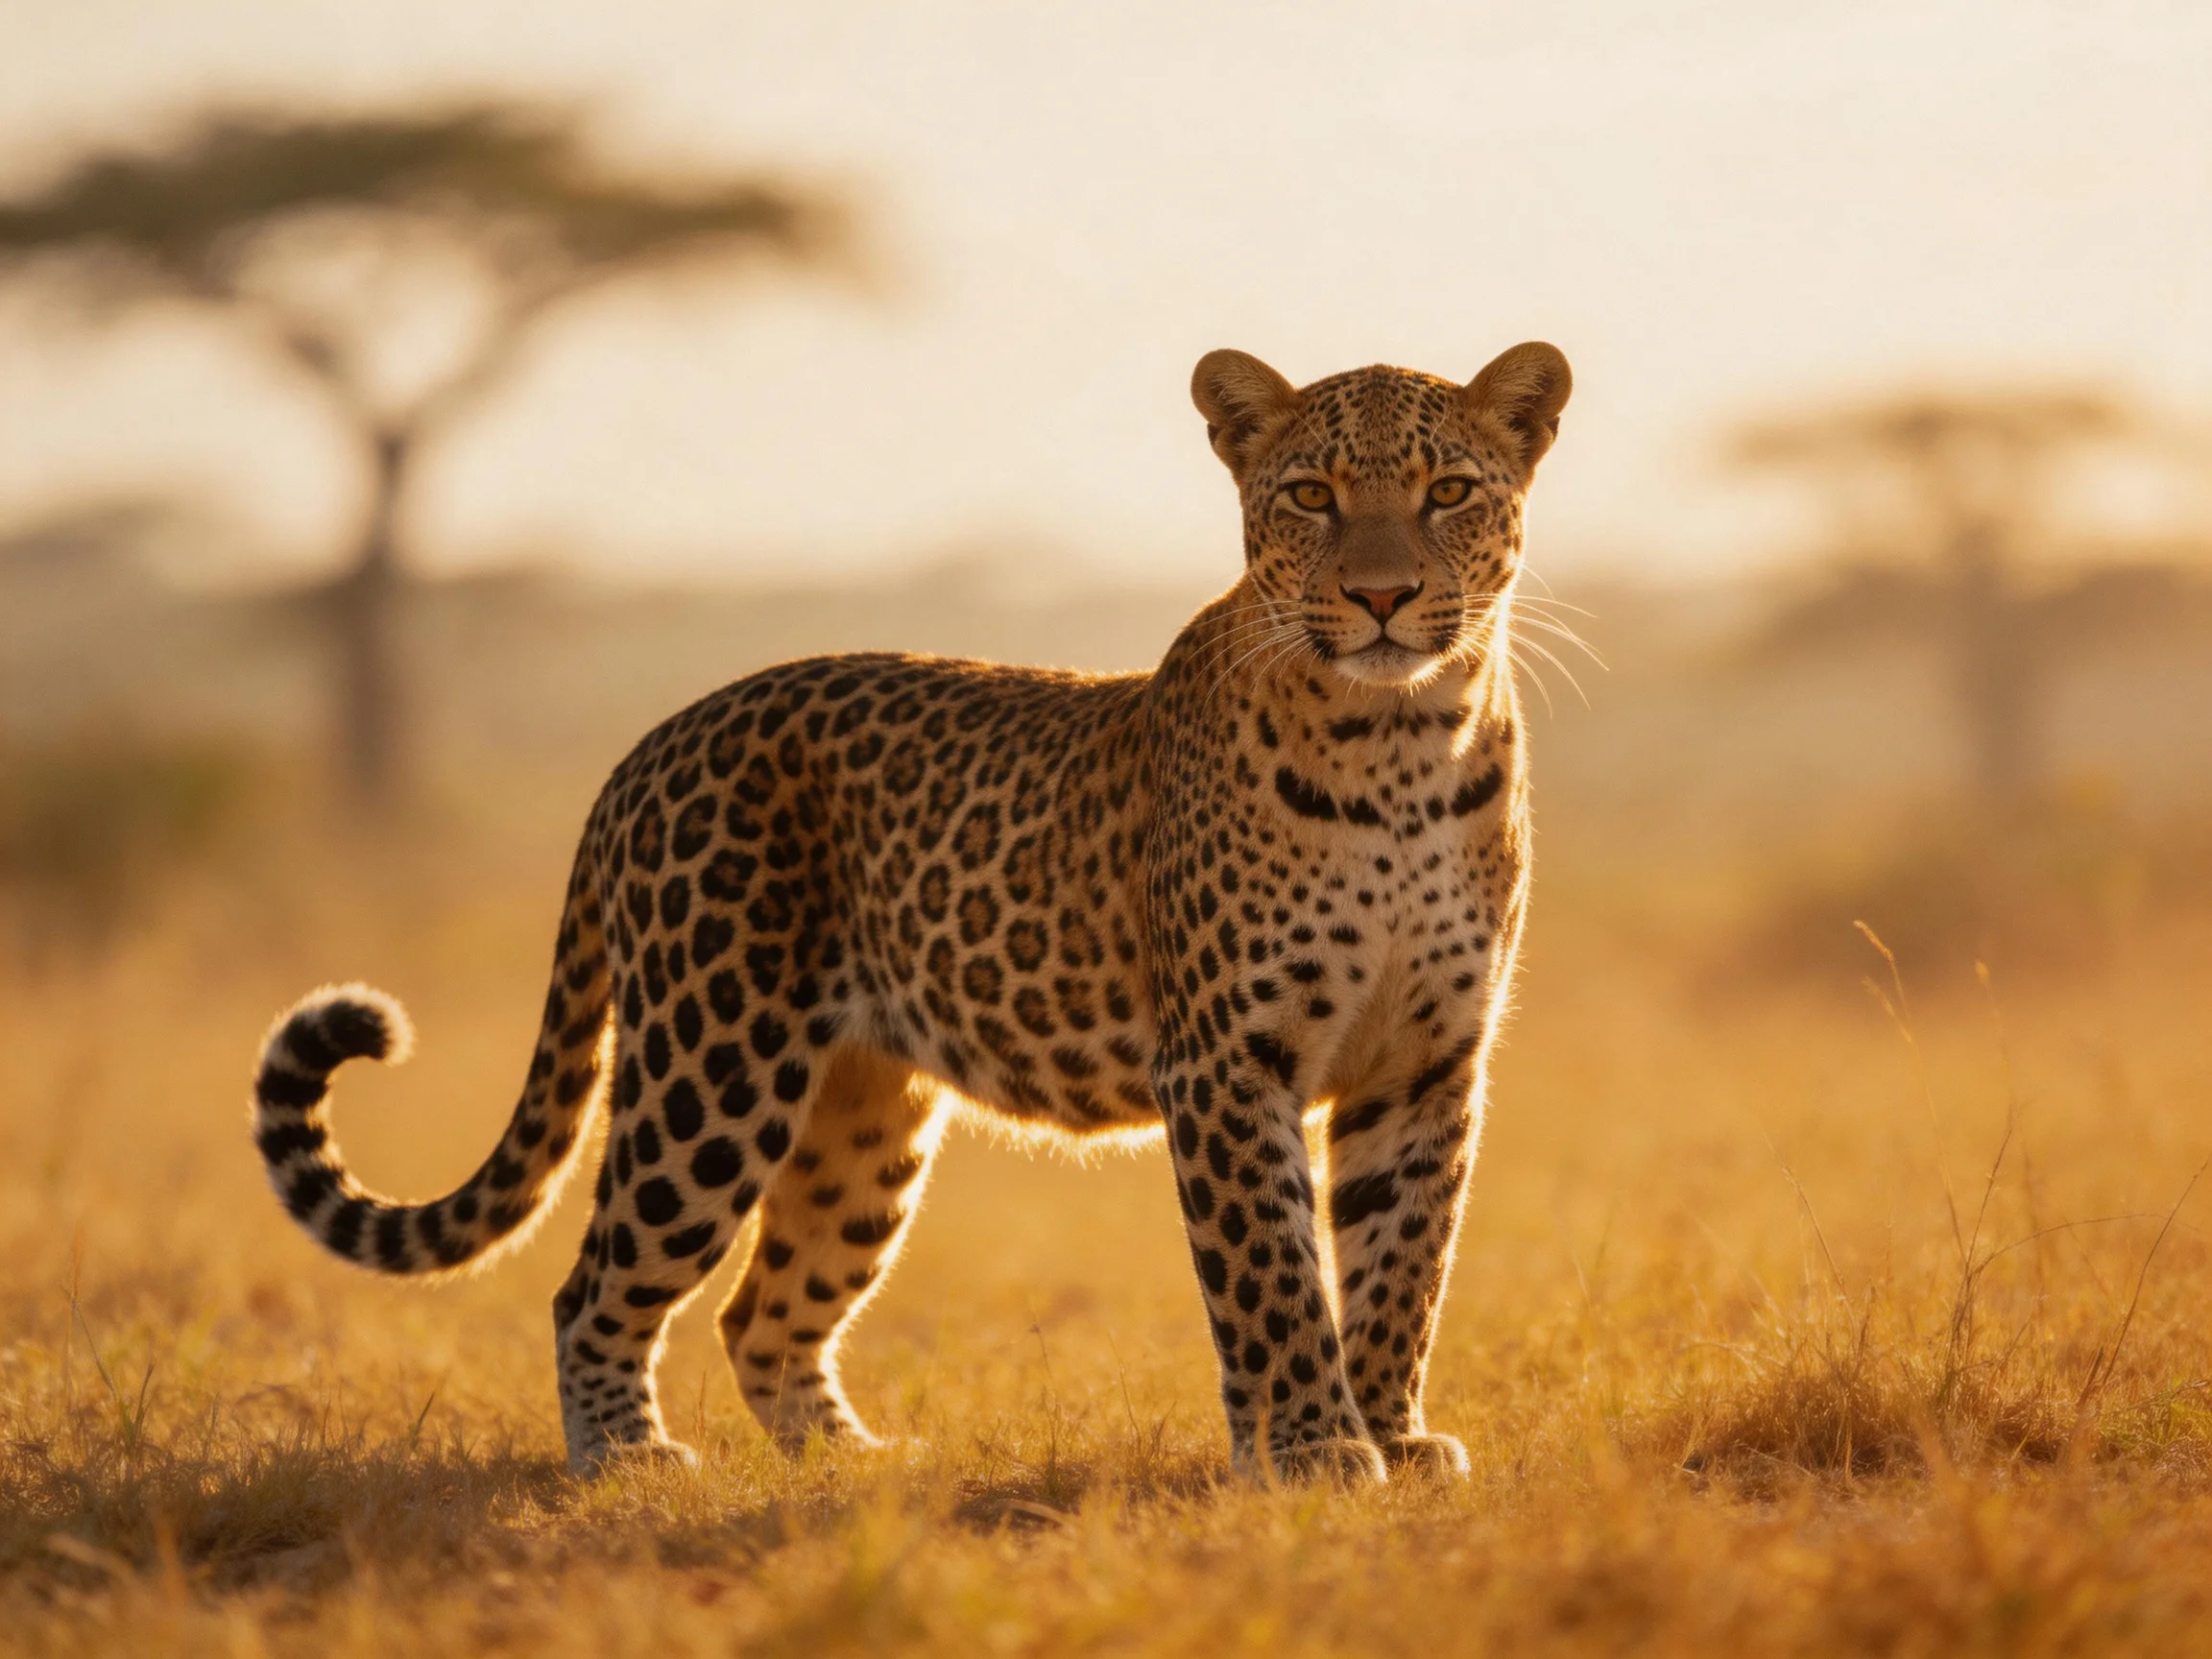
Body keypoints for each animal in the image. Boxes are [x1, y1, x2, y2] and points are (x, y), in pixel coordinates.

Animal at [248, 339, 1572, 1484]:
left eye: (1450, 490)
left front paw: (1392, 1436)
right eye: (1310, 494)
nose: (1384, 595)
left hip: (858, 1119)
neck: (1401, 744)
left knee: (762, 1311)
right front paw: (1313, 1448)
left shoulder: (1424, 1062)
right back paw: (628, 1458)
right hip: (709, 1073)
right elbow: (1273, 1271)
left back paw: (856, 1463)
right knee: (601, 1282)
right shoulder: (1226, 1062)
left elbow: (1402, 1263)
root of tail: (653, 742)